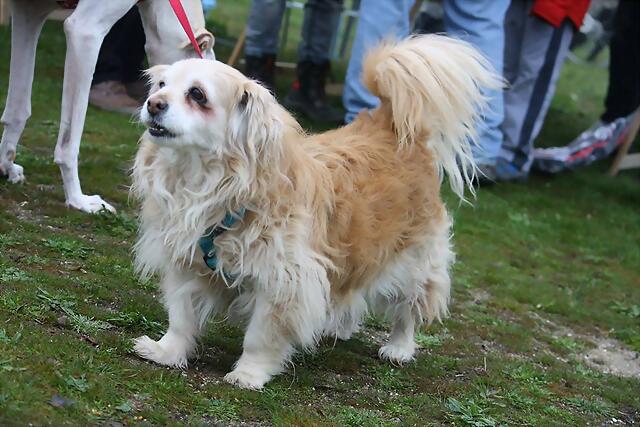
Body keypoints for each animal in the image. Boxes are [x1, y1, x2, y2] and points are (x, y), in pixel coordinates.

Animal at [0, 0, 215, 213]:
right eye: (198, 94)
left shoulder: (30, 14)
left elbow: (18, 109)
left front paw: (6, 166)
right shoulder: (84, 32)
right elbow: (69, 143)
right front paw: (78, 200)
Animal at [130, 36, 500, 392]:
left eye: (197, 94)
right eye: (160, 84)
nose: (153, 104)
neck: (208, 184)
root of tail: (391, 125)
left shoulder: (284, 283)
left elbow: (261, 336)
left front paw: (249, 374)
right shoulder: (187, 264)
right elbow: (181, 318)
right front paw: (167, 351)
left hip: (414, 262)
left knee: (409, 309)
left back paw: (399, 347)